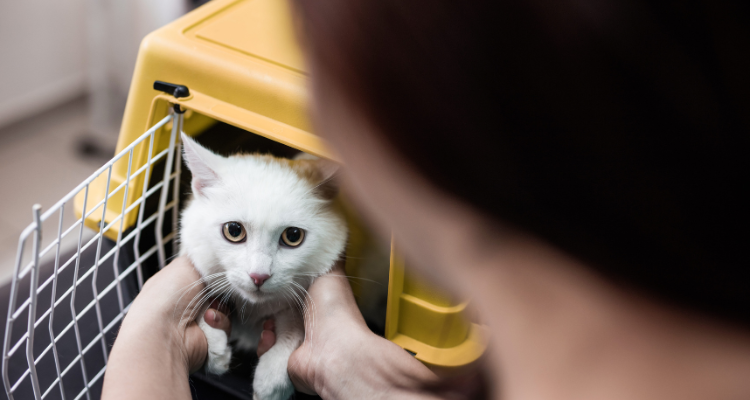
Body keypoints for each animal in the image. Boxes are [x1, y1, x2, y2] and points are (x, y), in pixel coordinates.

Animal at [179, 134, 350, 400]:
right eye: (234, 230)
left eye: (293, 236)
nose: (258, 276)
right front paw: (213, 345)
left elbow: (296, 323)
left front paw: (273, 378)